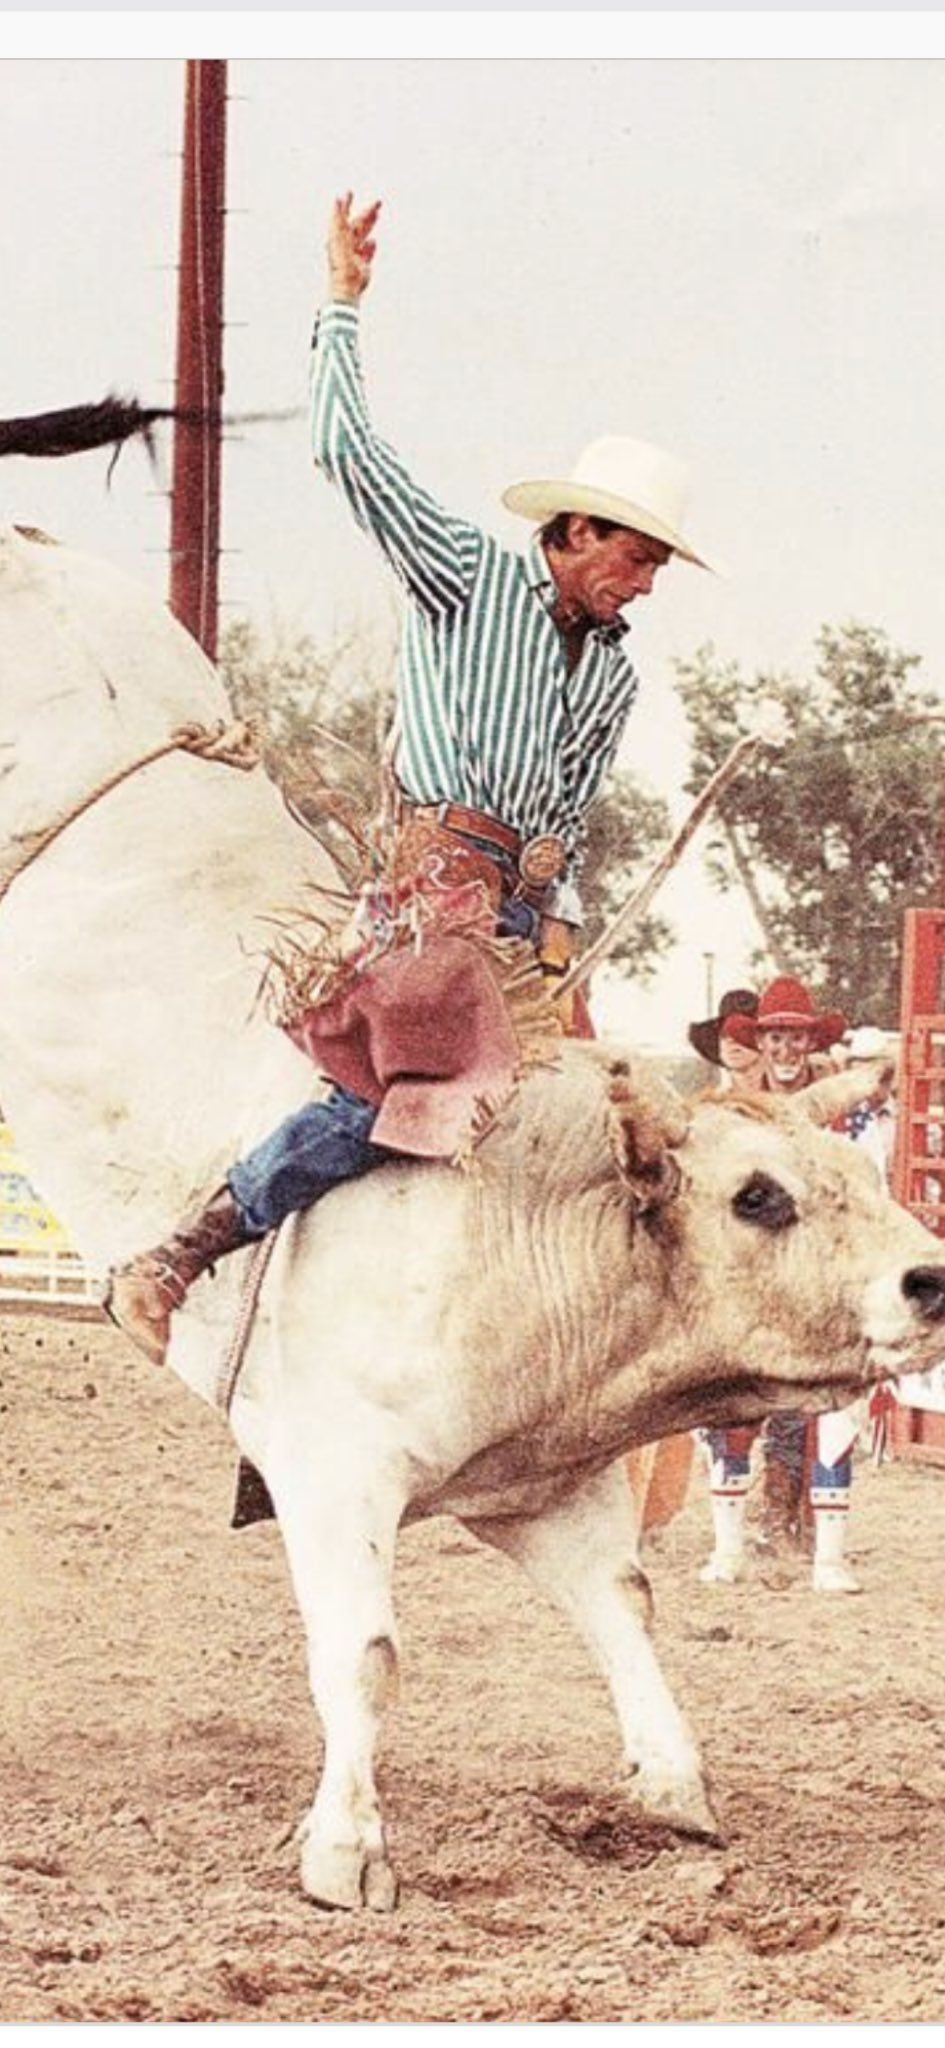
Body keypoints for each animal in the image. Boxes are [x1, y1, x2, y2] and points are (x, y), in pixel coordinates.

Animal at [1, 524, 942, 1900]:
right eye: (757, 1196)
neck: (535, 1214)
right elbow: (367, 1655)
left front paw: (674, 1785)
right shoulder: (331, 1472)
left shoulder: (542, 1490)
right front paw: (346, 1849)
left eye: (869, 1176)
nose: (930, 1279)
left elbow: (627, 1605)